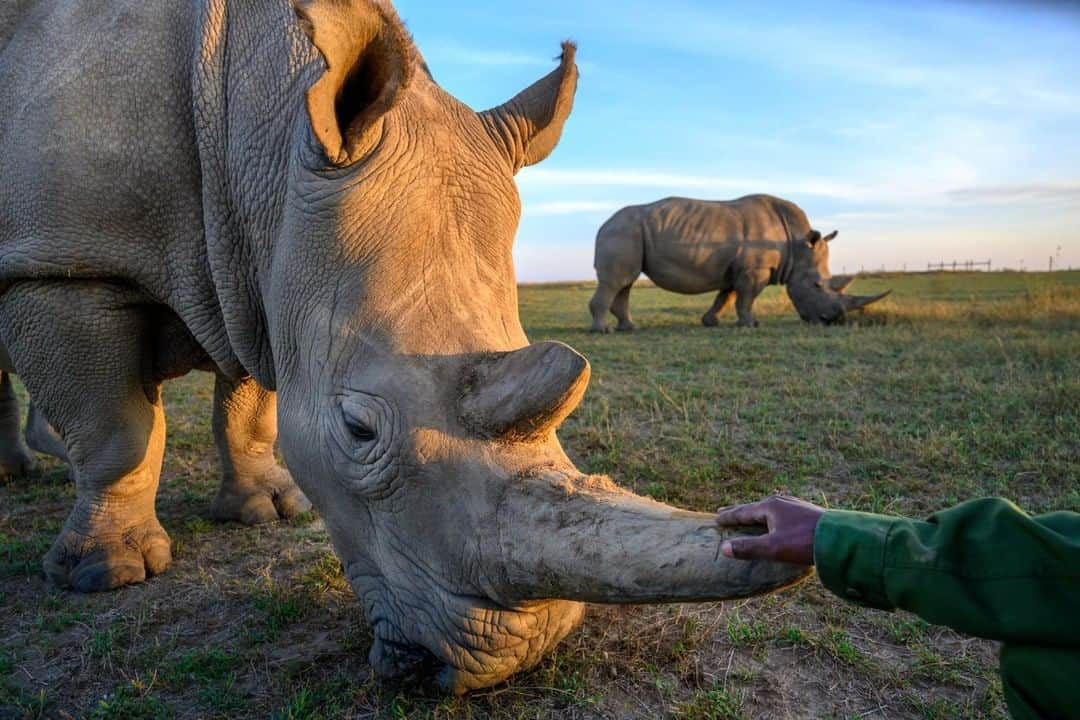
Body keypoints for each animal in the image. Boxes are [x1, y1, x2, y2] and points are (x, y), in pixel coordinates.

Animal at [0, 1, 812, 699]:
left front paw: (265, 510)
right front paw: (106, 575)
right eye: (358, 430)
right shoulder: (60, 263)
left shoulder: (260, 278)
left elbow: (251, 409)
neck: (259, 134)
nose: (522, 653)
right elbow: (117, 429)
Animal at [587, 195, 889, 334]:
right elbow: (746, 298)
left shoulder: (738, 269)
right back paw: (603, 331)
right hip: (623, 231)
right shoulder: (754, 270)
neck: (797, 245)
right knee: (616, 281)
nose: (831, 321)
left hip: (628, 232)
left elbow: (726, 297)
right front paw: (751, 325)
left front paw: (711, 322)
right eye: (817, 285)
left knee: (625, 282)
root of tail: (602, 225)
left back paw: (629, 327)